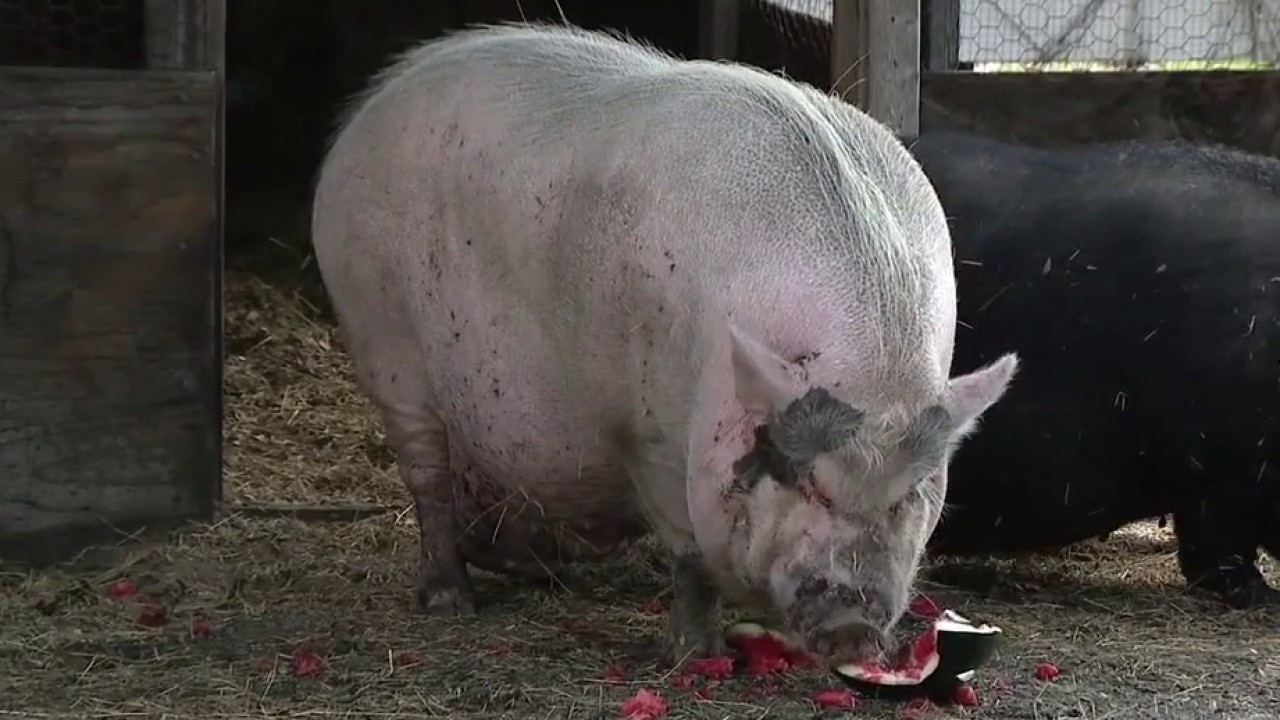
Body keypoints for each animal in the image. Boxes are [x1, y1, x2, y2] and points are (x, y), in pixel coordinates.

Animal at [310, 24, 1019, 662]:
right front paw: (696, 655)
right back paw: (450, 601)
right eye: (802, 479)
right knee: (426, 476)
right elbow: (689, 554)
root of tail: (370, 107)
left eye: (914, 491)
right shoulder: (645, 434)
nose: (855, 629)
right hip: (385, 340)